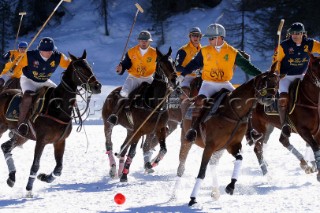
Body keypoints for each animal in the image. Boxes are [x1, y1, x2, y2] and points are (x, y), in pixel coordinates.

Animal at [0, 50, 101, 198]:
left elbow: (58, 168)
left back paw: (11, 178)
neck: (57, 107)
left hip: (21, 136)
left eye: (90, 67)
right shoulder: (41, 141)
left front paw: (44, 177)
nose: (98, 86)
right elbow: (35, 165)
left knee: (6, 147)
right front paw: (29, 189)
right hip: (3, 128)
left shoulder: (60, 141)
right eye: (80, 69)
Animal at [102, 47, 178, 182]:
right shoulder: (139, 130)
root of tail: (112, 92)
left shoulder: (159, 128)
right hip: (108, 124)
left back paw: (120, 171)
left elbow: (163, 149)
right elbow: (132, 152)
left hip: (130, 130)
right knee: (109, 145)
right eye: (162, 64)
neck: (154, 103)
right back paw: (113, 170)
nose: (174, 80)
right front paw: (125, 175)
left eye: (173, 62)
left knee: (123, 148)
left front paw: (150, 165)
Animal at [176, 70, 278, 206]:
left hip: (220, 149)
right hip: (186, 141)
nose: (269, 100)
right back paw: (173, 195)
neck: (233, 113)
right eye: (264, 82)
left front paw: (230, 186)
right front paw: (193, 198)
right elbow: (202, 172)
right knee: (181, 167)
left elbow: (239, 158)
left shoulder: (233, 145)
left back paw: (215, 193)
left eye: (276, 83)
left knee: (213, 165)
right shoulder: (209, 146)